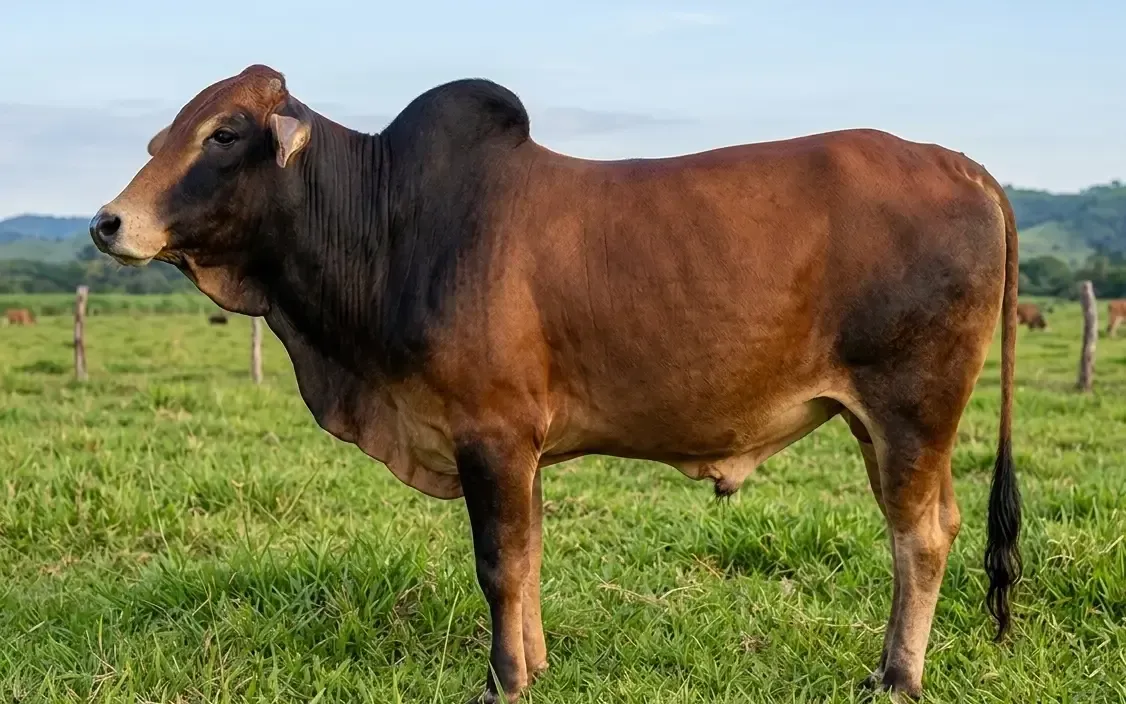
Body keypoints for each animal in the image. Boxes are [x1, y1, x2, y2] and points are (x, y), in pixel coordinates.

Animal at [89, 65, 1022, 702]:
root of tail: (962, 163)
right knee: (938, 521)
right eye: (164, 135)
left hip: (912, 408)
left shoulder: (491, 435)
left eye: (222, 134)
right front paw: (534, 663)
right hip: (885, 424)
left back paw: (896, 676)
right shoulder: (522, 449)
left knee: (919, 537)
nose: (108, 223)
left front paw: (503, 679)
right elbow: (531, 554)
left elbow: (499, 563)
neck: (385, 225)